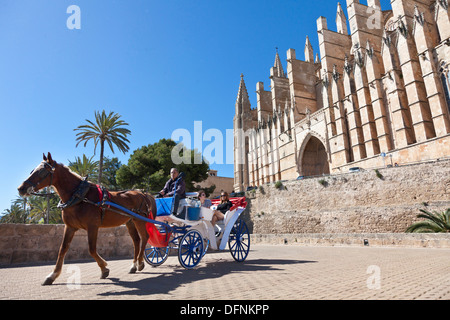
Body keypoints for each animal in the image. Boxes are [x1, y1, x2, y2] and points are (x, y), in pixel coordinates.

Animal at [17, 152, 156, 284]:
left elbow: (91, 249)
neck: (79, 196)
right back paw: (134, 265)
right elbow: (62, 249)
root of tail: (142, 193)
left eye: (42, 171)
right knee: (136, 241)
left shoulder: (92, 226)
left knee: (144, 237)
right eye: (32, 171)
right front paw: (53, 275)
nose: (21, 188)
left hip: (139, 220)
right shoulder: (70, 227)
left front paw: (104, 268)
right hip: (130, 222)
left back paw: (140, 263)